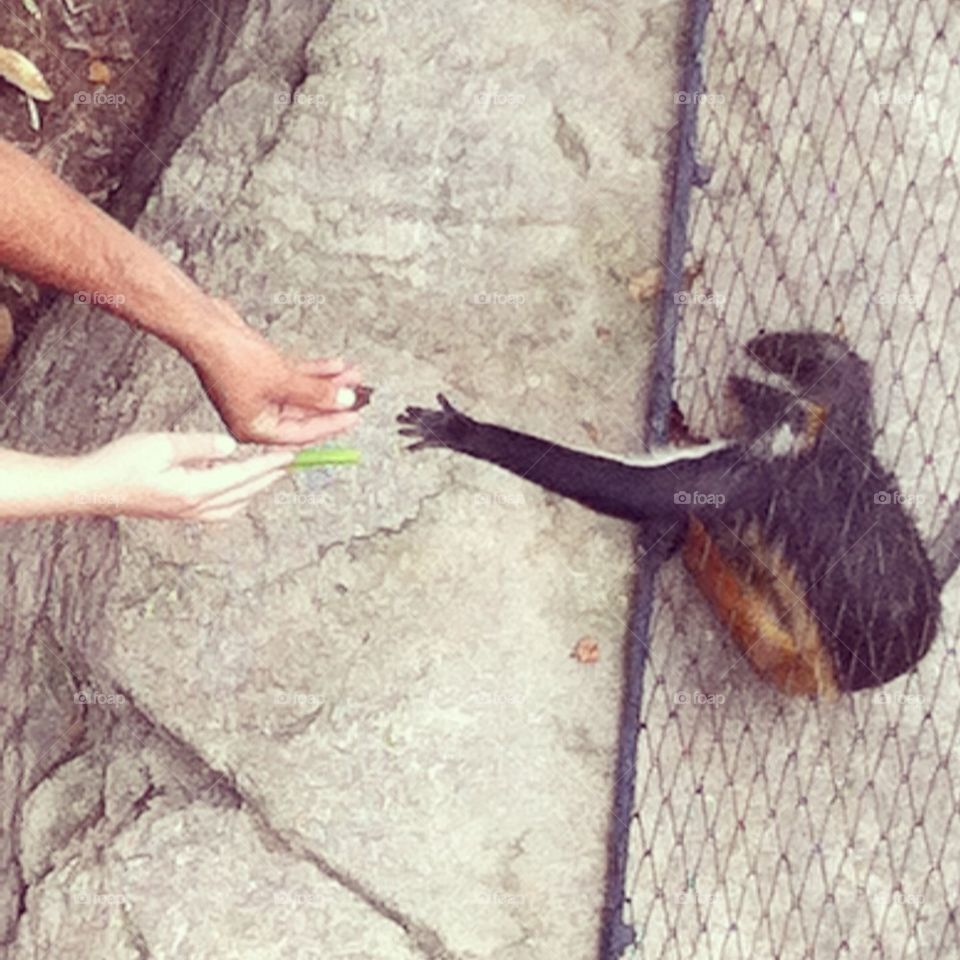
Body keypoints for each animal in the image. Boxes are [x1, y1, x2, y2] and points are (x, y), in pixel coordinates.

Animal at [397, 332, 940, 698]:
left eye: (766, 396)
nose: (738, 384)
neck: (828, 450)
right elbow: (847, 364)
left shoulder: (747, 472)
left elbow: (630, 490)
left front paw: (470, 434)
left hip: (785, 658)